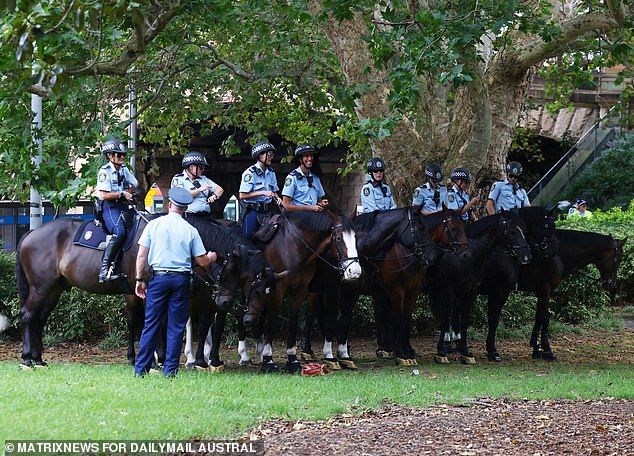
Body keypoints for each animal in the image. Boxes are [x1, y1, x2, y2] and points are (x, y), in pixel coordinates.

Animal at [242, 210, 360, 374]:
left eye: (356, 237)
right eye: (338, 238)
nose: (354, 271)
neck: (293, 248)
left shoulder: (300, 291)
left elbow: (293, 321)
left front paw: (292, 360)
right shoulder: (277, 291)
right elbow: (272, 322)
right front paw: (268, 361)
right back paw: (245, 356)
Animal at [484, 226, 624, 362]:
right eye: (618, 259)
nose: (612, 284)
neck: (556, 254)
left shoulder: (543, 292)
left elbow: (538, 318)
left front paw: (536, 348)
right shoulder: (545, 290)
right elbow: (545, 319)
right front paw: (547, 350)